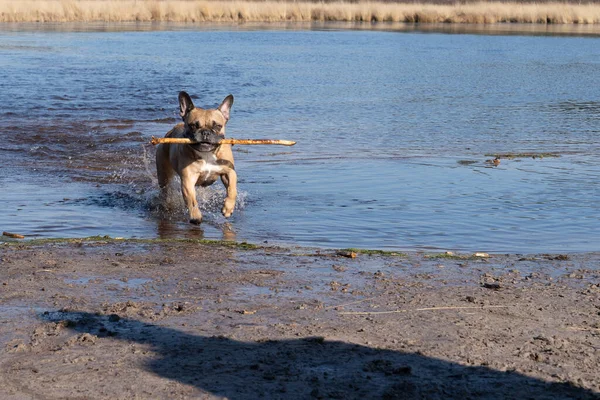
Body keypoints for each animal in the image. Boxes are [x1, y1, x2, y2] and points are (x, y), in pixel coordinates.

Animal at [155, 91, 237, 225]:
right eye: (193, 126)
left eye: (218, 126)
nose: (205, 132)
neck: (207, 154)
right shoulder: (188, 180)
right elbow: (192, 200)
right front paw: (196, 216)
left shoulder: (229, 171)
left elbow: (232, 189)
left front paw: (228, 208)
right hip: (163, 175)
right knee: (164, 189)